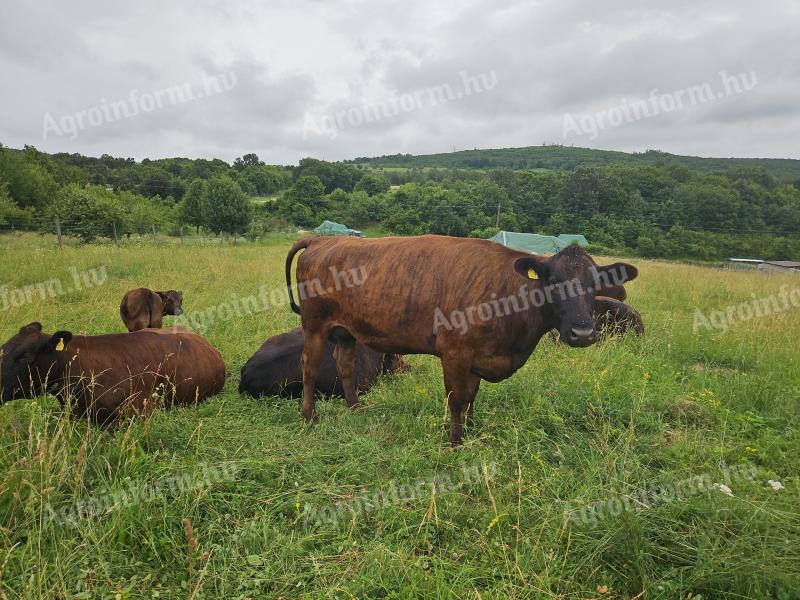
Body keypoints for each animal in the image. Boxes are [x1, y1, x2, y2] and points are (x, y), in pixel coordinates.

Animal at [286, 234, 636, 446]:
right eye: (552, 280)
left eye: (595, 282)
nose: (583, 333)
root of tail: (322, 238)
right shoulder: (455, 353)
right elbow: (457, 399)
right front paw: (455, 442)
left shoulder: (478, 358)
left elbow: (471, 398)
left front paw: (469, 431)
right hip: (313, 327)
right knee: (309, 367)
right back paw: (310, 416)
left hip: (346, 332)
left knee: (344, 364)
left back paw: (356, 408)